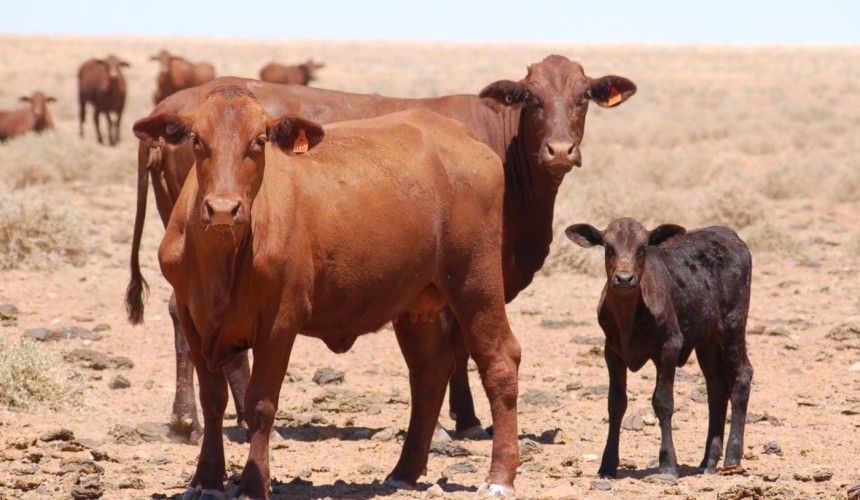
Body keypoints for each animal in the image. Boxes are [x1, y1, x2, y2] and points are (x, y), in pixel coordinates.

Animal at [126, 55, 636, 444]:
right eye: (531, 98)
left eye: (583, 97)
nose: (559, 150)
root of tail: (170, 107)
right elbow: (458, 345)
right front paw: (462, 420)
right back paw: (201, 418)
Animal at [132, 84, 521, 498]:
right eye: (197, 140)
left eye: (259, 141)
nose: (223, 208)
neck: (223, 262)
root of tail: (459, 133)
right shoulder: (193, 317)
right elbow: (212, 398)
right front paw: (206, 479)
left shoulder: (279, 322)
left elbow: (260, 403)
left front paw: (253, 483)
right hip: (417, 301)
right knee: (429, 370)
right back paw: (404, 472)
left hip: (475, 279)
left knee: (499, 360)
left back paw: (499, 477)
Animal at [564, 218, 754, 478]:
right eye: (608, 247)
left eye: (642, 248)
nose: (624, 278)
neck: (628, 318)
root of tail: (728, 234)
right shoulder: (612, 351)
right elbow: (616, 403)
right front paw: (608, 464)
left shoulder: (670, 346)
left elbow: (663, 401)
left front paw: (667, 464)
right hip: (707, 340)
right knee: (716, 387)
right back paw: (708, 461)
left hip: (734, 324)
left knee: (741, 376)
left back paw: (732, 457)